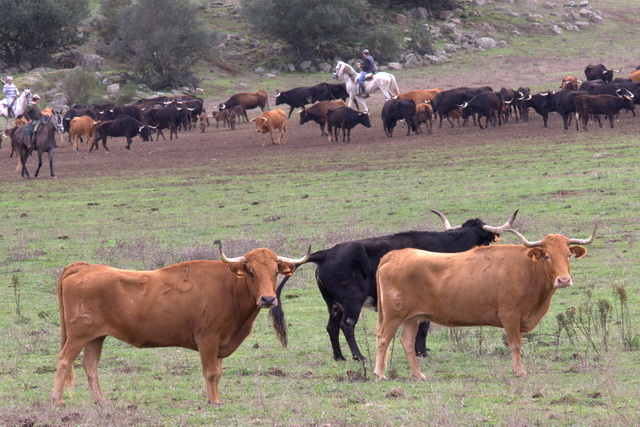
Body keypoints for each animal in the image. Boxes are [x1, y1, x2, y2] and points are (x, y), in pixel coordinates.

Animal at [50, 242, 310, 406]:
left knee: (90, 366)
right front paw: (213, 401)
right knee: (64, 361)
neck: (228, 287)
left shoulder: (219, 345)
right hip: (78, 336)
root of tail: (84, 267)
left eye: (275, 272)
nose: (268, 299)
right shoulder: (207, 340)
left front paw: (215, 398)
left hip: (95, 337)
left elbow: (218, 373)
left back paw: (101, 401)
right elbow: (210, 373)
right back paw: (58, 400)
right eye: (252, 272)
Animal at [270, 211, 520, 362]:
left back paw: (339, 357)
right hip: (351, 302)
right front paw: (421, 352)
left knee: (331, 327)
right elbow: (424, 327)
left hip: (333, 303)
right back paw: (359, 357)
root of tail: (326, 254)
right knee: (346, 326)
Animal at [372, 222, 596, 380]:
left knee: (407, 342)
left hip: (413, 318)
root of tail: (394, 255)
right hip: (393, 315)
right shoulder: (510, 316)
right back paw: (379, 373)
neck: (526, 268)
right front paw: (519, 371)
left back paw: (418, 375)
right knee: (383, 338)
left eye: (568, 255)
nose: (564, 280)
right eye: (547, 256)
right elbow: (515, 344)